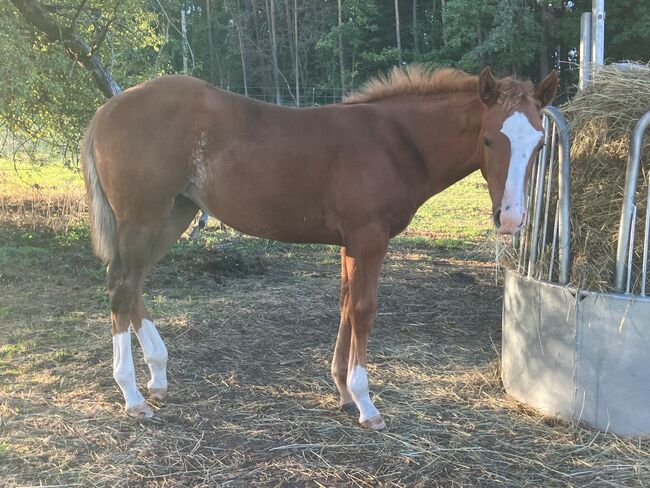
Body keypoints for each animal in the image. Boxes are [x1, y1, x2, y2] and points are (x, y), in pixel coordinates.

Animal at [82, 66, 558, 430]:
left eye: (538, 143)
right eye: (489, 139)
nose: (511, 218)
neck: (394, 144)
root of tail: (106, 109)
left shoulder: (350, 244)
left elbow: (346, 304)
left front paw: (344, 390)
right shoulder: (368, 239)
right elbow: (364, 310)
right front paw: (366, 404)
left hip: (174, 214)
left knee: (132, 282)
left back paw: (158, 376)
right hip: (143, 216)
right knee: (120, 288)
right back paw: (132, 396)